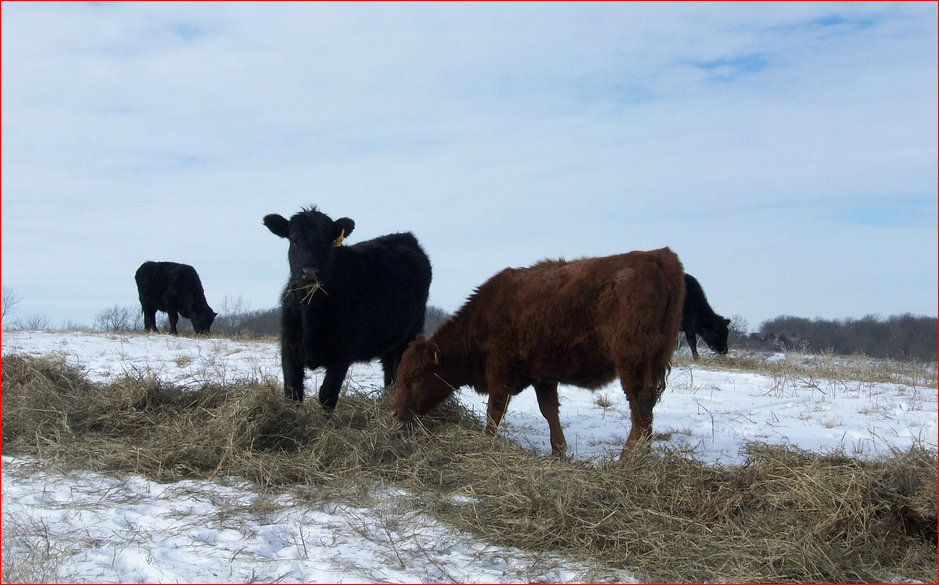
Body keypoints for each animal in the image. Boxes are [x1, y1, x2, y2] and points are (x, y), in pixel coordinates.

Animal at [264, 206, 432, 408]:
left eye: (327, 242)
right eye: (294, 240)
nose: (310, 272)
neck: (311, 311)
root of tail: (404, 237)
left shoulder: (343, 352)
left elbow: (327, 395)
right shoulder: (289, 345)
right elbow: (292, 393)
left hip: (410, 334)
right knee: (389, 375)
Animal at [390, 248, 685, 459]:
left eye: (415, 376)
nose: (393, 412)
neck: (483, 316)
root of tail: (658, 255)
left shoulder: (500, 373)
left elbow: (494, 410)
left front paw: (486, 443)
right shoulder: (543, 376)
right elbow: (549, 411)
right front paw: (558, 452)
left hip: (631, 361)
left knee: (640, 403)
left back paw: (628, 458)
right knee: (646, 406)